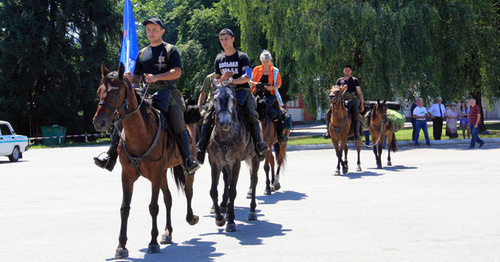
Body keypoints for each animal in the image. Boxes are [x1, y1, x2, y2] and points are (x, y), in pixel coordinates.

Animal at [93, 63, 198, 258]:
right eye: (99, 91)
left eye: (116, 93)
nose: (98, 122)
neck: (139, 133)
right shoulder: (127, 176)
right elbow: (125, 207)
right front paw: (121, 246)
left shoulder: (155, 175)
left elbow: (153, 207)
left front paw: (153, 242)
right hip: (163, 173)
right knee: (168, 198)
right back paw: (167, 232)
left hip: (184, 168)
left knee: (188, 191)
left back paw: (191, 218)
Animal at [208, 84, 260, 231]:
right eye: (215, 99)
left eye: (231, 98)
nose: (225, 123)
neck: (225, 137)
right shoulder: (215, 163)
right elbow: (213, 191)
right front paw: (219, 219)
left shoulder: (236, 163)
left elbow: (232, 191)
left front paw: (230, 221)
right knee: (228, 181)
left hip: (254, 158)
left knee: (254, 180)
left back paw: (252, 211)